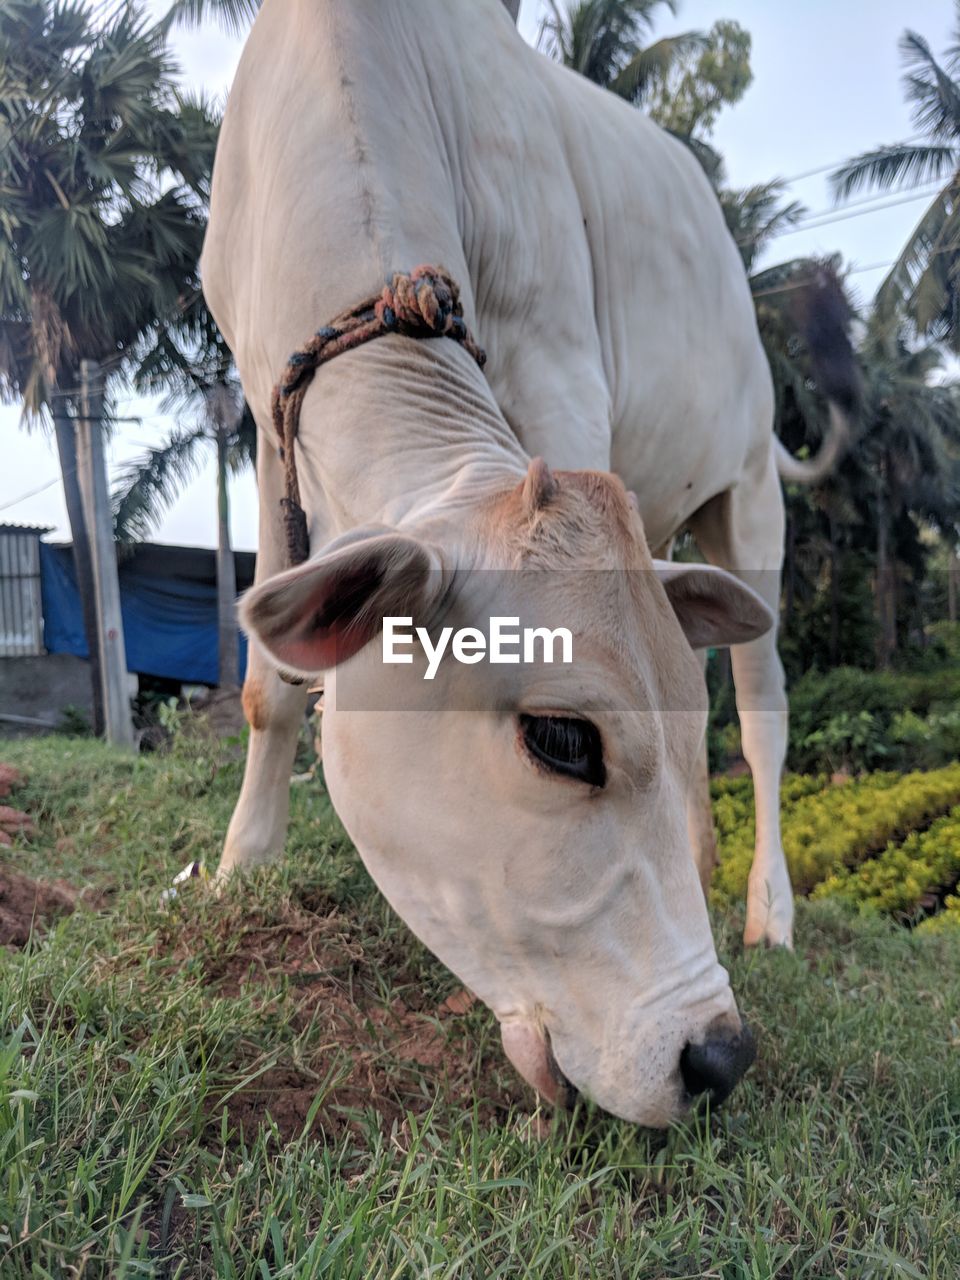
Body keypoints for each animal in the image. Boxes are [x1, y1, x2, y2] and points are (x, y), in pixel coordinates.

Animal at [203, 0, 849, 1126]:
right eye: (562, 737)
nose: (718, 1056)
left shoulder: (558, 369)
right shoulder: (270, 424)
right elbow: (268, 687)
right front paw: (243, 865)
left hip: (747, 499)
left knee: (760, 711)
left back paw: (769, 908)